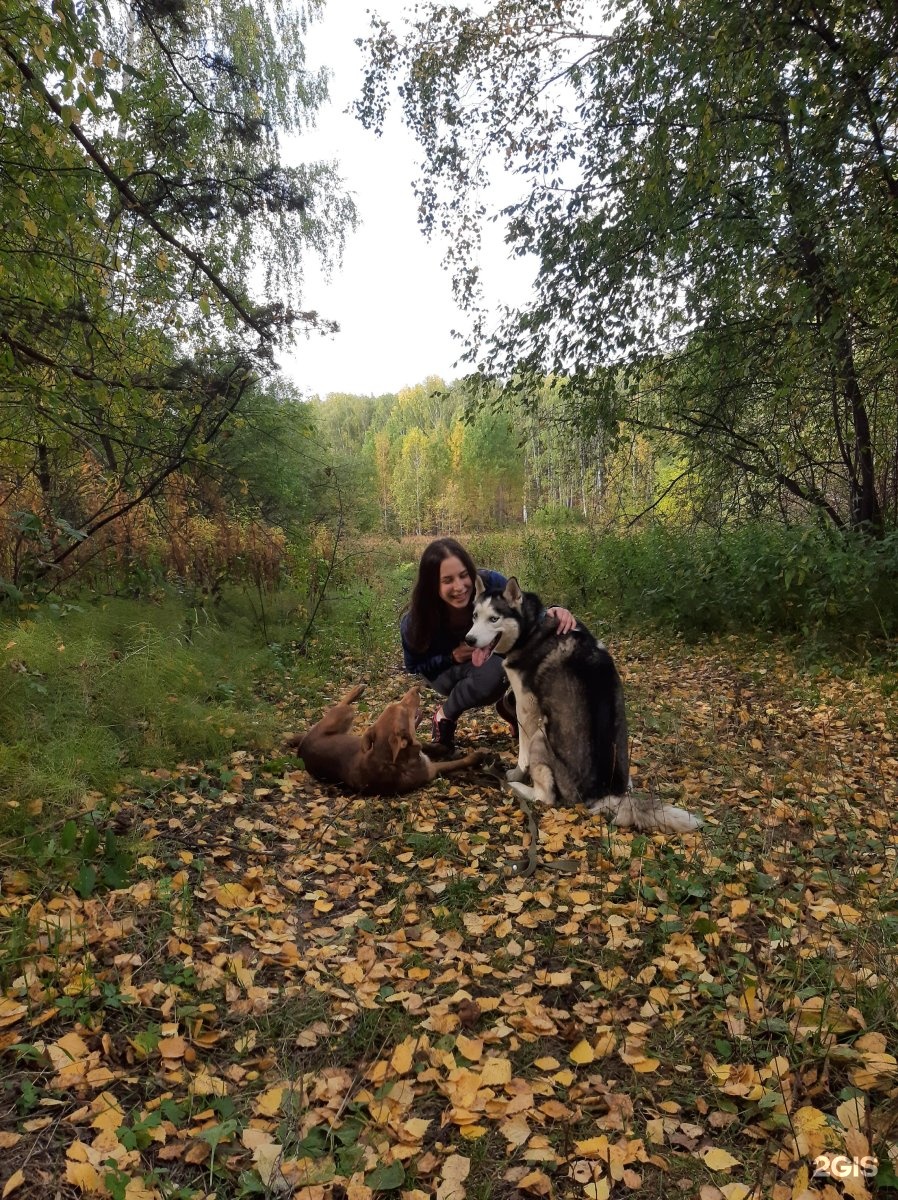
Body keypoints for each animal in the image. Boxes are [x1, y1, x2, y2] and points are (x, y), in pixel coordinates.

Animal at [285, 686, 485, 796]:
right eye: (404, 708)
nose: (417, 688)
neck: (389, 757)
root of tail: (302, 748)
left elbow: (429, 747)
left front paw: (442, 748)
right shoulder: (432, 769)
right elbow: (456, 763)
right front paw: (477, 756)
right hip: (345, 714)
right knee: (341, 704)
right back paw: (358, 689)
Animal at [465, 580, 705, 835]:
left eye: (494, 619)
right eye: (474, 616)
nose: (469, 640)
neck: (533, 628)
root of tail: (606, 795)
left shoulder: (526, 708)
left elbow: (523, 751)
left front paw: (516, 772)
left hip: (541, 736)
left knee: (545, 797)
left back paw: (516, 787)